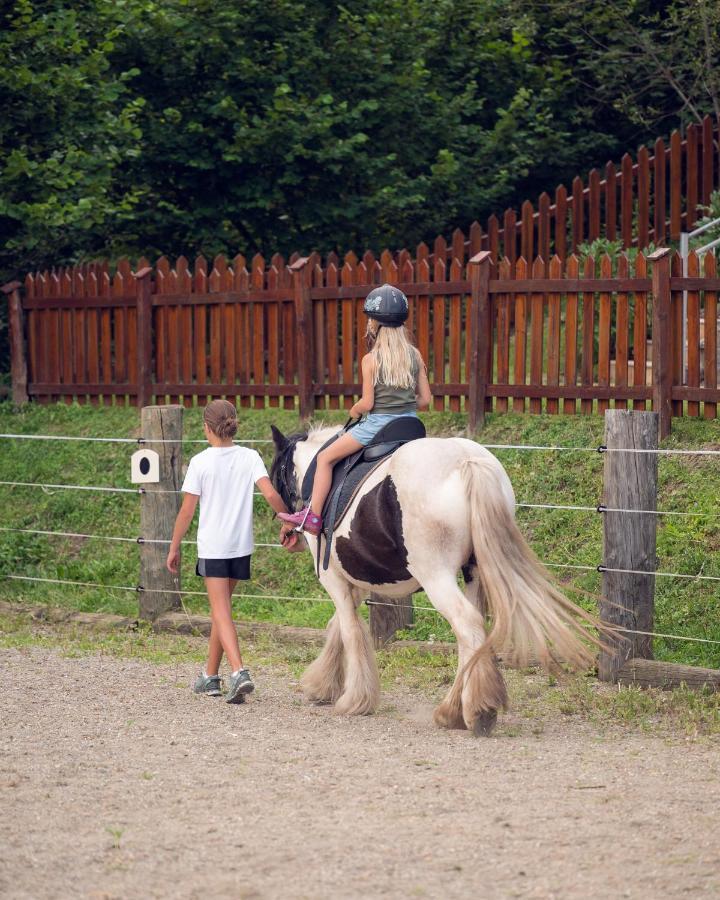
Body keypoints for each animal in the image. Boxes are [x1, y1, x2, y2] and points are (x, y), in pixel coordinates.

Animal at [270, 426, 600, 736]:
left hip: (436, 576)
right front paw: (322, 684)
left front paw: (354, 700)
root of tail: (465, 459)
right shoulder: (360, 582)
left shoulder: (334, 579)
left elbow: (349, 630)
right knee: (474, 632)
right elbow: (336, 626)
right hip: (474, 573)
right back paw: (455, 710)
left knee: (466, 623)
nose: (287, 535)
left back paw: (476, 711)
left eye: (276, 476)